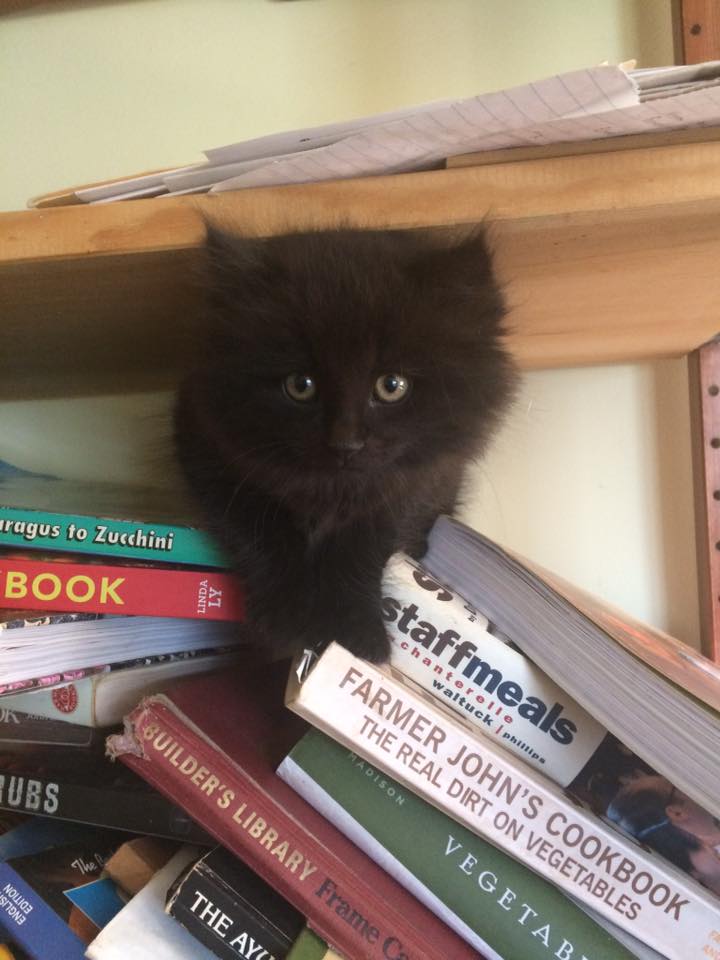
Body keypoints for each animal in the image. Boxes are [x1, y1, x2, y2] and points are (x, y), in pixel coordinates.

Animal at [174, 226, 516, 664]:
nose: (346, 442)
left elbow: (361, 554)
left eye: (391, 385)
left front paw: (357, 635)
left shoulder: (413, 487)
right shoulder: (212, 458)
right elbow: (266, 541)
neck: (331, 491)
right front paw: (288, 628)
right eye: (300, 385)